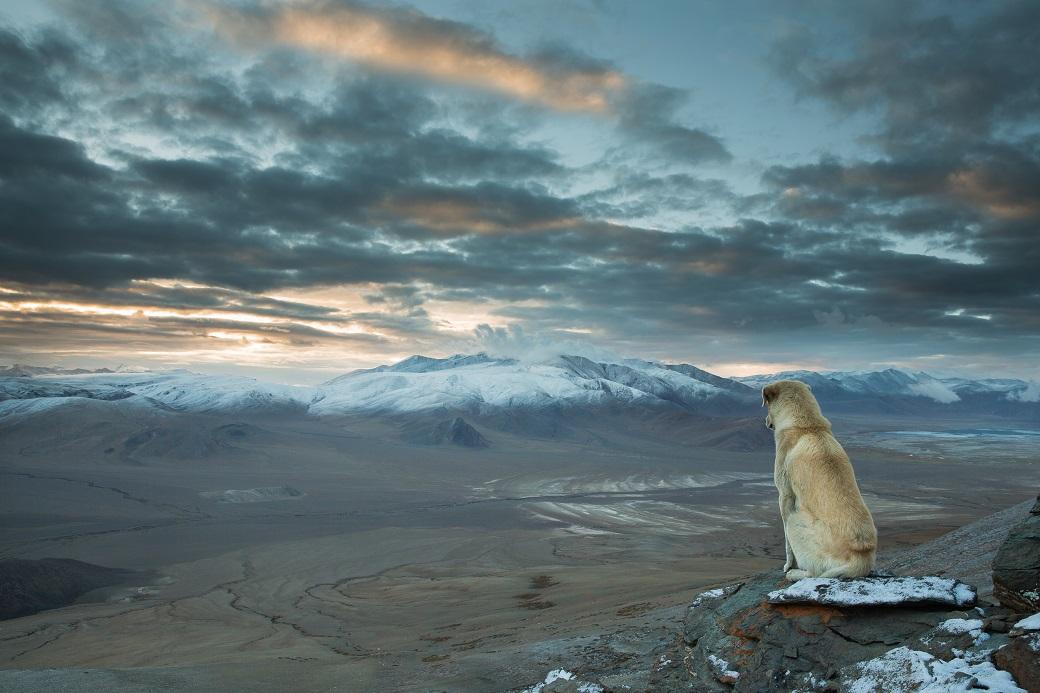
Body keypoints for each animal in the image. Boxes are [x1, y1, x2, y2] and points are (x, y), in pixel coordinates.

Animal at [765, 378, 877, 578]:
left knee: (813, 573)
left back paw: (794, 574)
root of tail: (860, 559)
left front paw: (788, 566)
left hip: (795, 520)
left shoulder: (784, 496)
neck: (807, 425)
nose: (765, 421)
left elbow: (787, 545)